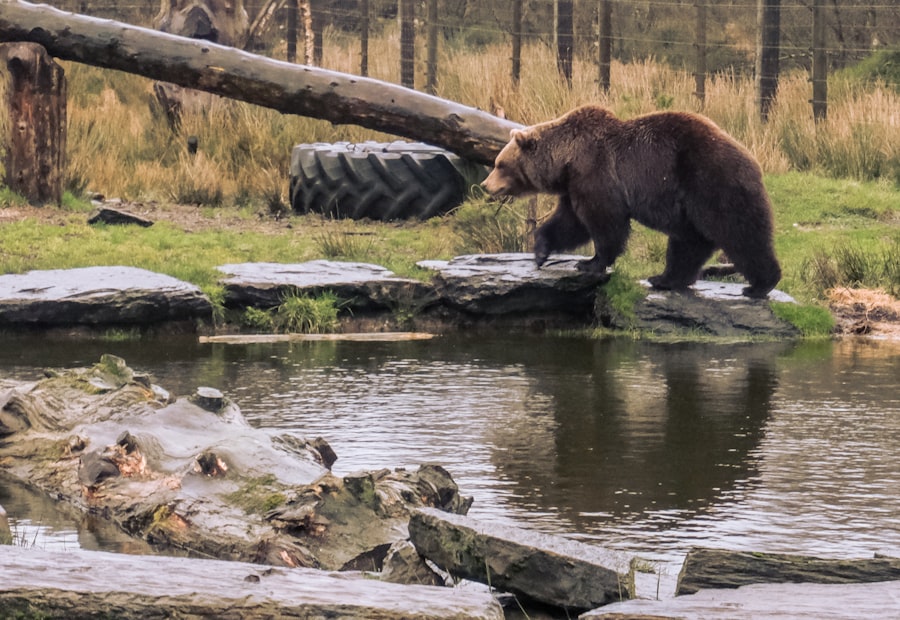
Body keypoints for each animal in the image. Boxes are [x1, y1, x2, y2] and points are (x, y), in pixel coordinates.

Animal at [481, 105, 782, 299]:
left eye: (499, 164)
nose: (485, 185)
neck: (566, 160)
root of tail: (752, 159)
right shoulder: (575, 185)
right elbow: (570, 222)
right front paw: (541, 252)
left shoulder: (596, 173)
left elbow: (604, 222)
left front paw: (590, 263)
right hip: (689, 203)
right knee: (689, 241)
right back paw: (665, 279)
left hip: (711, 182)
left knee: (740, 233)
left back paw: (759, 285)